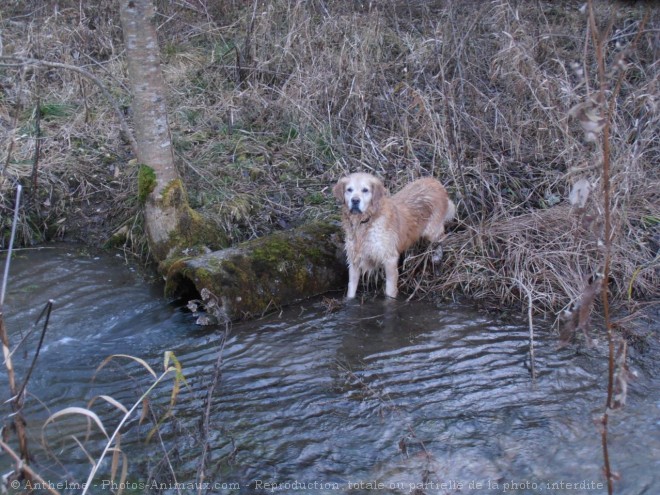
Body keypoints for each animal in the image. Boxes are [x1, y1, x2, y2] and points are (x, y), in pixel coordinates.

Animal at [332, 172, 456, 300]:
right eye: (349, 189)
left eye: (365, 190)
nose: (355, 200)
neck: (365, 222)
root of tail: (435, 182)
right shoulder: (354, 261)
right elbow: (351, 289)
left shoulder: (389, 259)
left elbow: (389, 291)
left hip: (431, 230)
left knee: (442, 236)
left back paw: (437, 256)